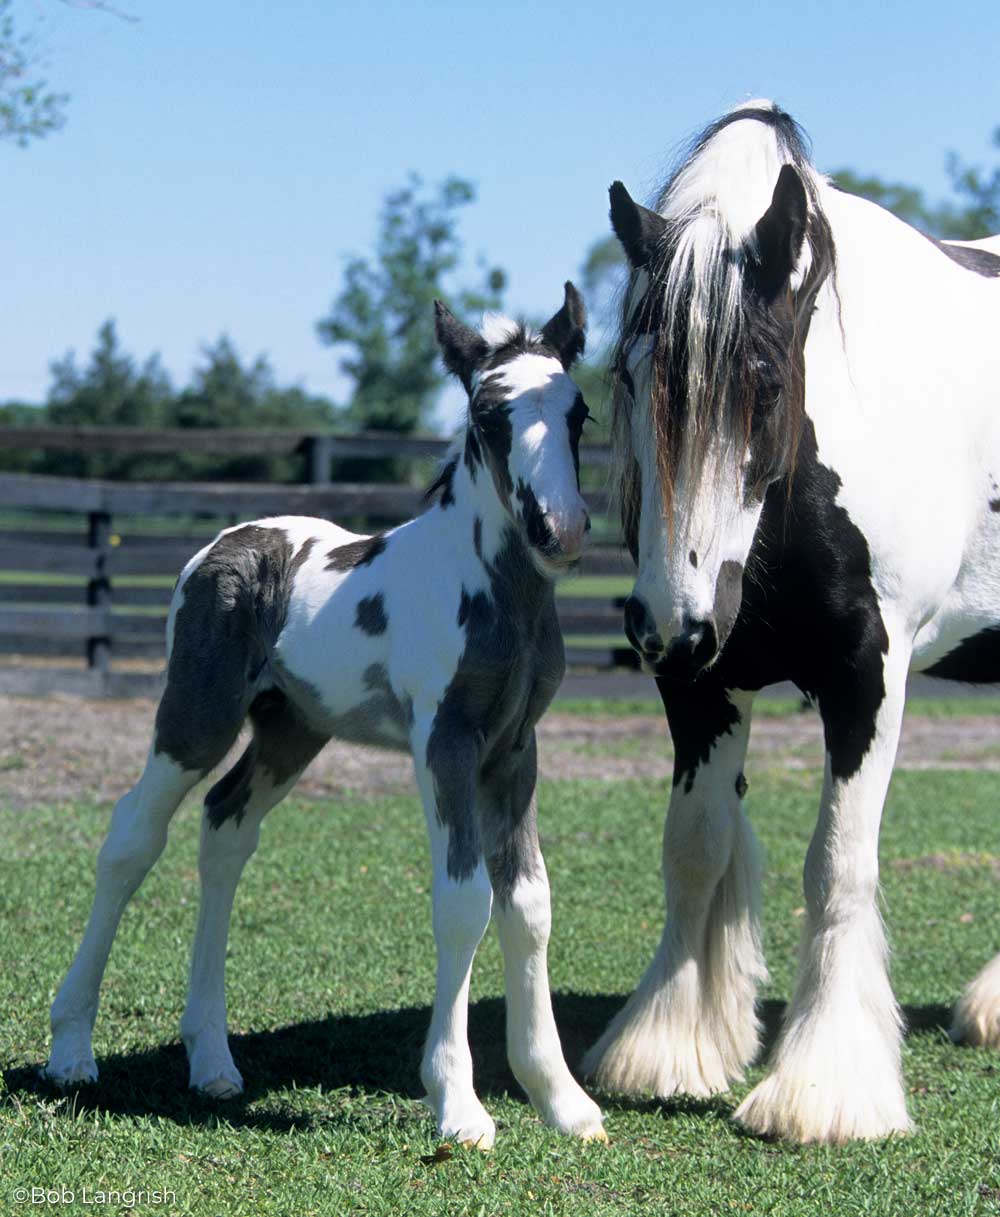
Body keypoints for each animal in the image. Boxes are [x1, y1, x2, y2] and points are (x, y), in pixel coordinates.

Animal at [45, 284, 603, 1148]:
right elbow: (464, 900)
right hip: (197, 714)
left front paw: (562, 1098)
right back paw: (71, 1047)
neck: (490, 588)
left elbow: (530, 902)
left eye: (579, 412)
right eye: (487, 415)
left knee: (226, 826)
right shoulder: (444, 742)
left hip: (291, 728)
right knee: (131, 836)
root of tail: (220, 542)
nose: (561, 527)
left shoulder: (515, 749)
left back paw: (212, 1061)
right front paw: (459, 1103)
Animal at [583, 102, 1000, 1139]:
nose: (672, 623)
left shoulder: (866, 679)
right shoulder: (703, 683)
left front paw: (824, 1084)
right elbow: (694, 849)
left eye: (765, 381)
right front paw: (668, 1045)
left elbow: (837, 866)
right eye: (629, 375)